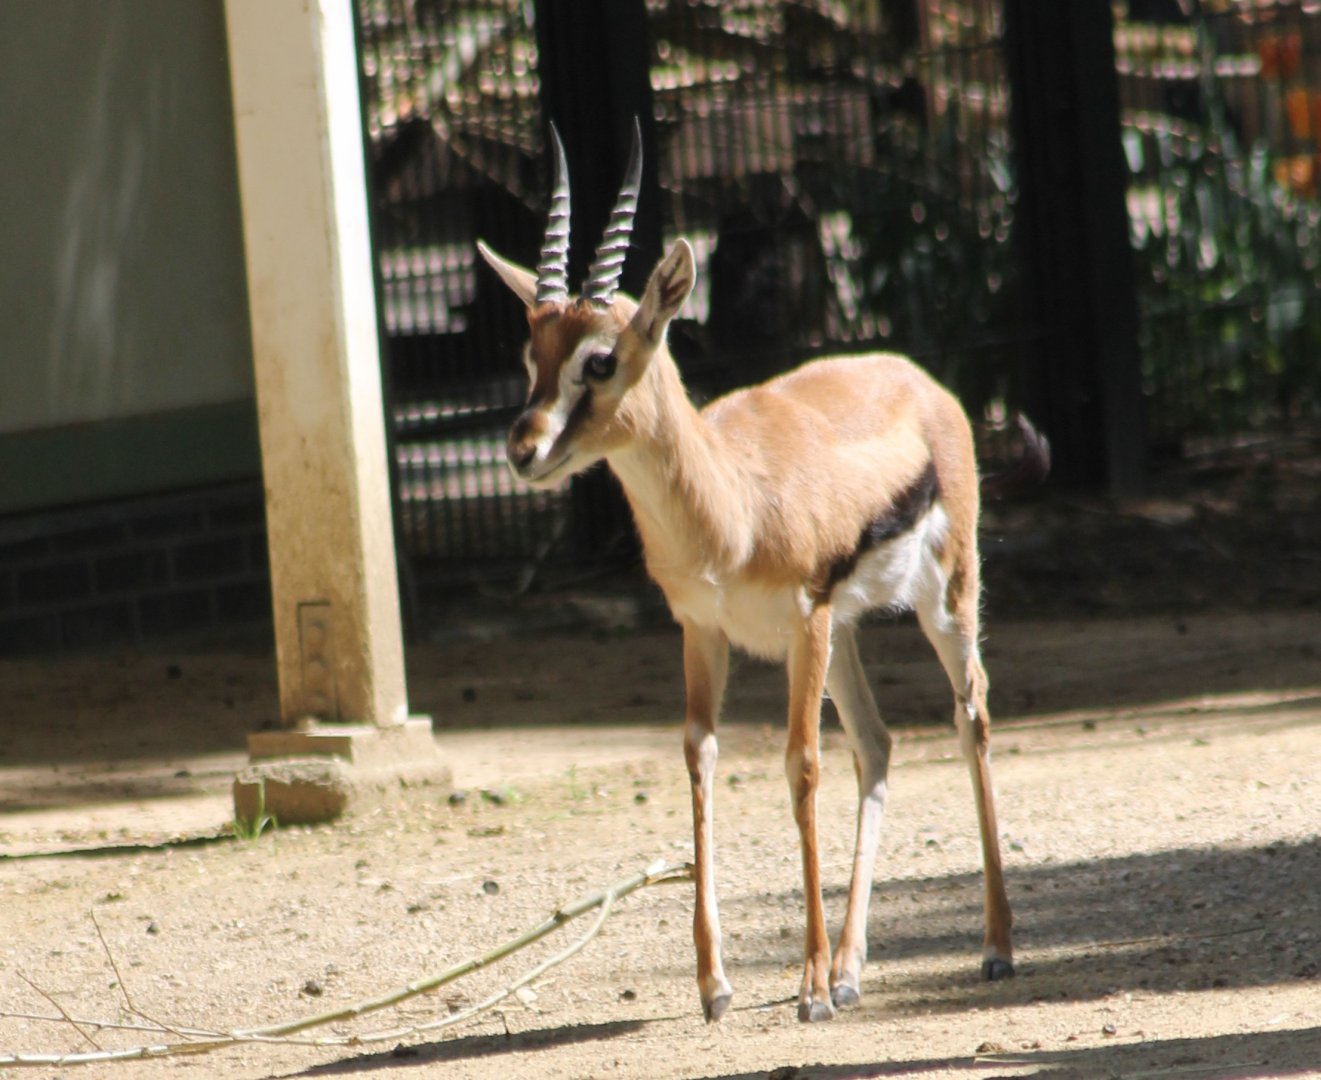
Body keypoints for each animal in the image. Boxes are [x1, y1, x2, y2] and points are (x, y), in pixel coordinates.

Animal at [477, 122, 1038, 1023]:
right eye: (532, 350)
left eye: (599, 360)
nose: (523, 449)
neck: (728, 503)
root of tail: (918, 379)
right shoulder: (703, 629)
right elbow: (700, 759)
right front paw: (716, 985)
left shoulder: (803, 617)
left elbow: (799, 766)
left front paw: (803, 988)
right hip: (843, 636)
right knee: (877, 744)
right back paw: (850, 969)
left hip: (941, 602)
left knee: (970, 719)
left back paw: (989, 948)